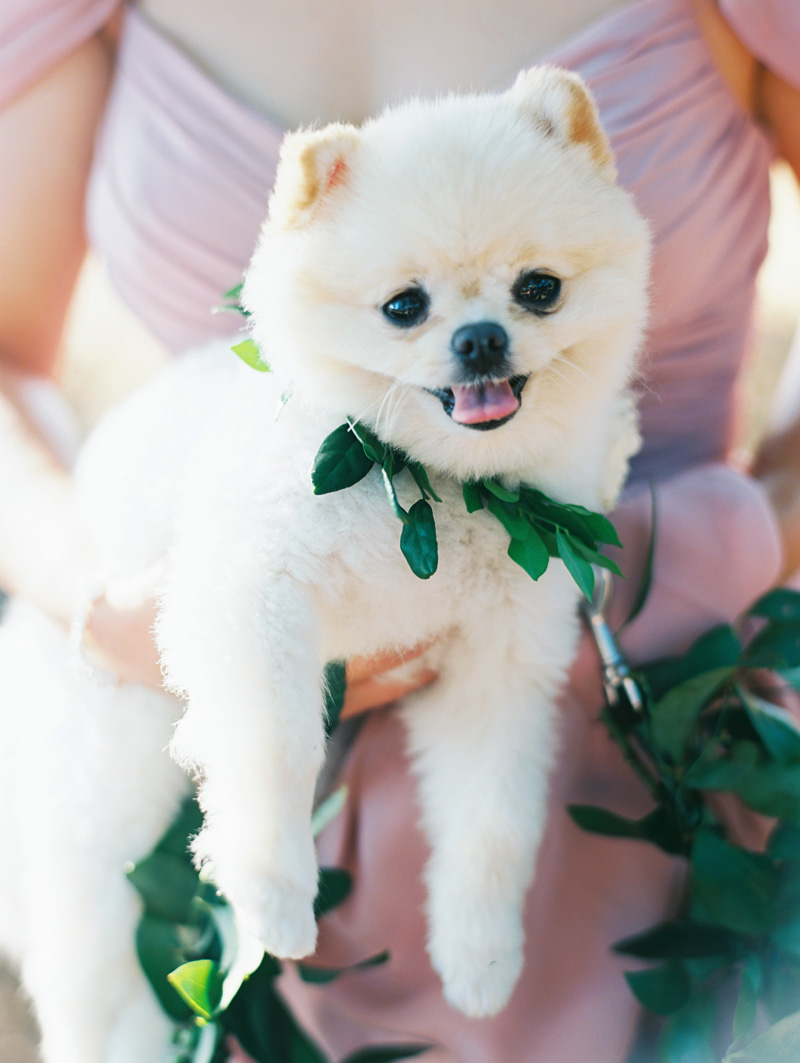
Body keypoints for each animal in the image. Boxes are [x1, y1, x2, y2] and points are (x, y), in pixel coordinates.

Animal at [0, 68, 645, 1063]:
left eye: (540, 288)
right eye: (404, 306)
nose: (482, 338)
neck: (425, 491)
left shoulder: (497, 664)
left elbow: (492, 818)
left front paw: (481, 955)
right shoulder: (253, 597)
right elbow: (276, 747)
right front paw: (272, 896)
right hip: (107, 767)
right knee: (89, 941)